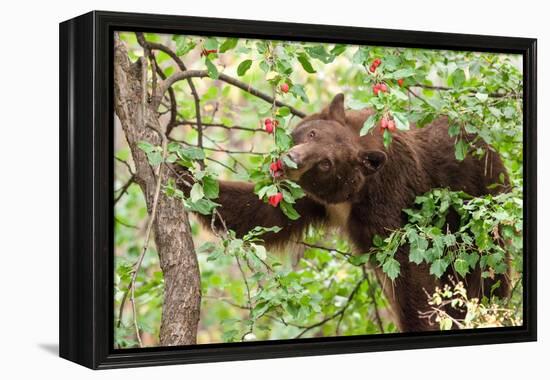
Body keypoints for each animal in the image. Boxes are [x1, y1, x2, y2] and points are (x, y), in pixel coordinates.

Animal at [179, 93, 512, 332]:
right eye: (311, 133)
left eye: (326, 163)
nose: (291, 160)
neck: (351, 196)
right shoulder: (311, 198)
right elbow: (265, 214)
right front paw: (183, 174)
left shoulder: (389, 197)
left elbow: (408, 267)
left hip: (479, 210)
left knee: (486, 273)